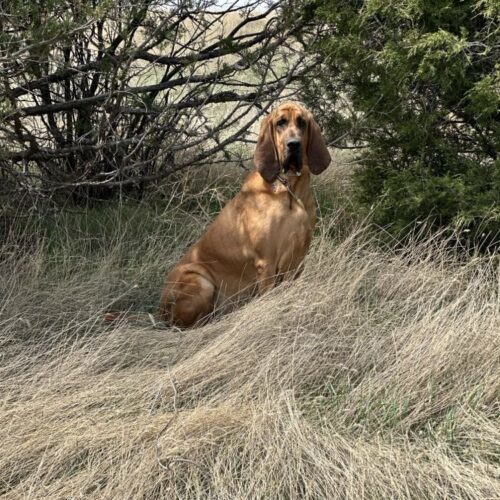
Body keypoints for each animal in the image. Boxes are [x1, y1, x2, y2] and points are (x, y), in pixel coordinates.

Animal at [157, 102, 332, 328]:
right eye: (281, 123)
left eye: (302, 122)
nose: (294, 145)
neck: (289, 189)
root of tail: (159, 310)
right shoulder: (267, 263)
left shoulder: (298, 260)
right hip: (202, 281)